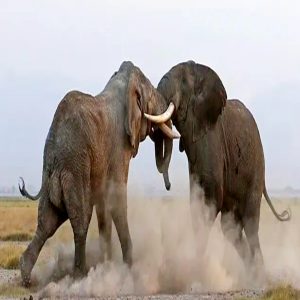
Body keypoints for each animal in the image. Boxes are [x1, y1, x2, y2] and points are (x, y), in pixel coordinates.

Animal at [18, 60, 178, 286]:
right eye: (152, 97)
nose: (168, 186)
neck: (121, 85)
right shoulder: (118, 148)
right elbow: (117, 198)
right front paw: (129, 269)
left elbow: (104, 210)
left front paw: (107, 266)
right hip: (75, 170)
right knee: (81, 220)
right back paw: (79, 276)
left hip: (52, 177)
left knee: (47, 222)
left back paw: (26, 277)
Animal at [145, 60, 290, 270]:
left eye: (183, 81)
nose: (168, 186)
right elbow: (197, 199)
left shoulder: (211, 138)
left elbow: (210, 196)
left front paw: (197, 267)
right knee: (231, 228)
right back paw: (251, 272)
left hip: (257, 168)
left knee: (250, 223)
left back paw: (259, 274)